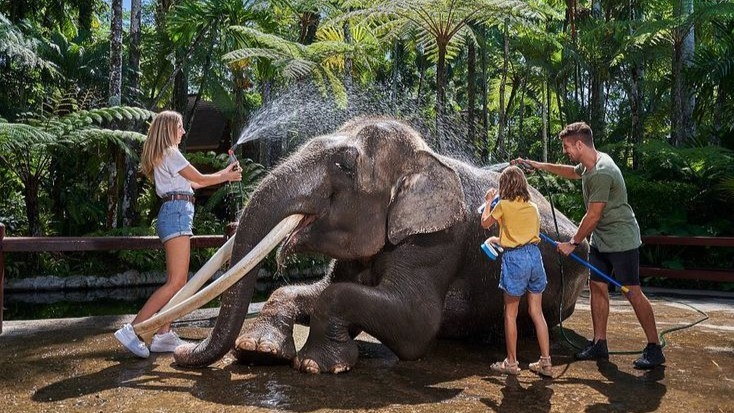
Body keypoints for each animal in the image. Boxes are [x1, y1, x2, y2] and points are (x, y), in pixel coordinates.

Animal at [173, 116, 588, 373]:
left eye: (343, 165)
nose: (179, 350)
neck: (423, 155)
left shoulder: (438, 241)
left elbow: (416, 323)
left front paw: (314, 365)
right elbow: (317, 289)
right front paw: (257, 350)